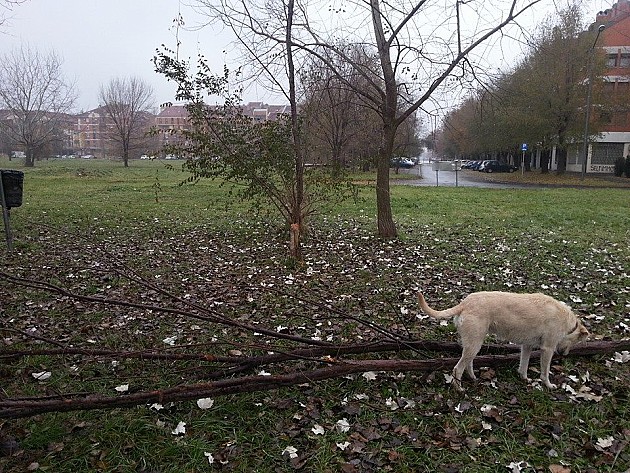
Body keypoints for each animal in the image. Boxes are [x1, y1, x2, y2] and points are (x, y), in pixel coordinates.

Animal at [420, 290, 592, 390]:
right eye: (576, 342)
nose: (564, 355)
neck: (567, 323)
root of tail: (465, 303)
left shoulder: (527, 346)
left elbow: (524, 365)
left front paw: (524, 378)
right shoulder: (548, 349)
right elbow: (545, 372)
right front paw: (548, 385)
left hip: (473, 344)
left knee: (467, 363)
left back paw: (473, 378)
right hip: (475, 344)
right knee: (457, 368)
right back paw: (459, 389)